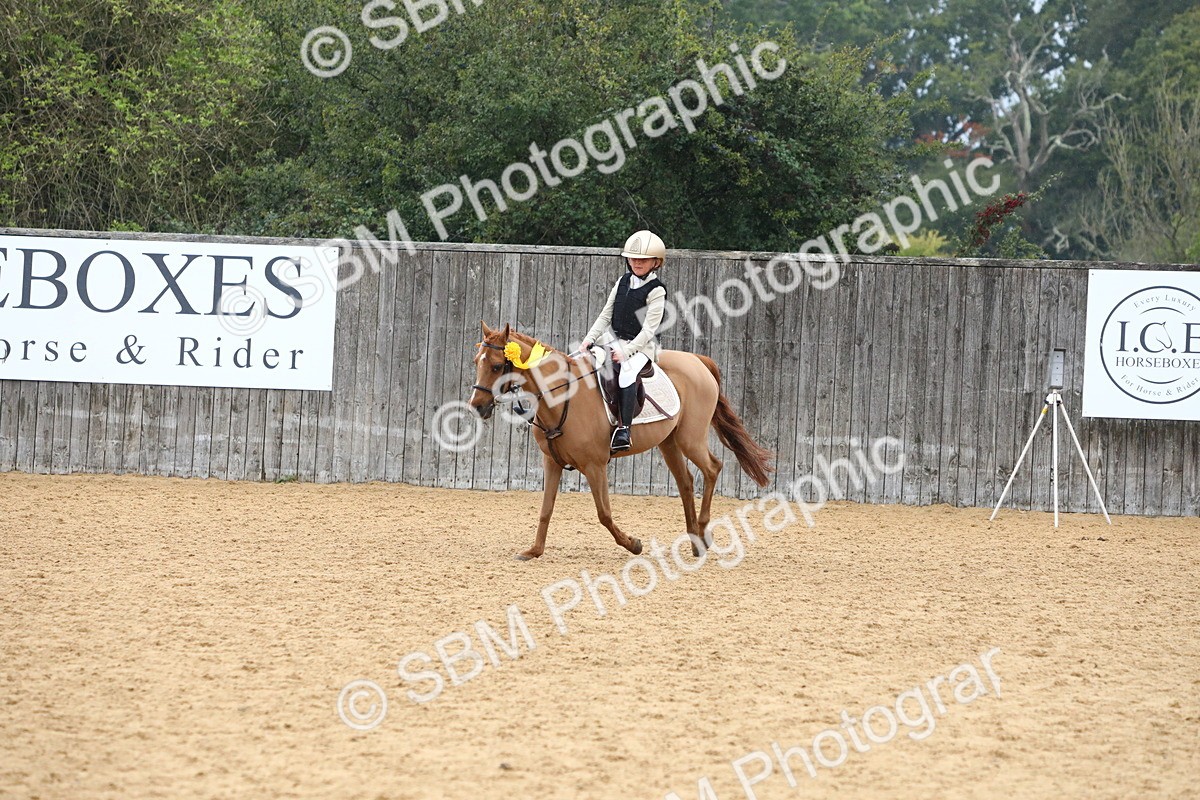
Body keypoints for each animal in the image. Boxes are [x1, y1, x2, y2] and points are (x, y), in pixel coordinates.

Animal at [468, 322, 774, 560]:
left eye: (497, 366)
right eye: (476, 363)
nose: (476, 406)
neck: (562, 397)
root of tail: (698, 361)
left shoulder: (595, 466)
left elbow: (604, 513)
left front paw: (634, 545)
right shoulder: (551, 463)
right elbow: (546, 509)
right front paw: (534, 551)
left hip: (691, 439)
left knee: (712, 469)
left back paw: (703, 530)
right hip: (669, 442)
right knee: (686, 482)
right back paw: (695, 541)